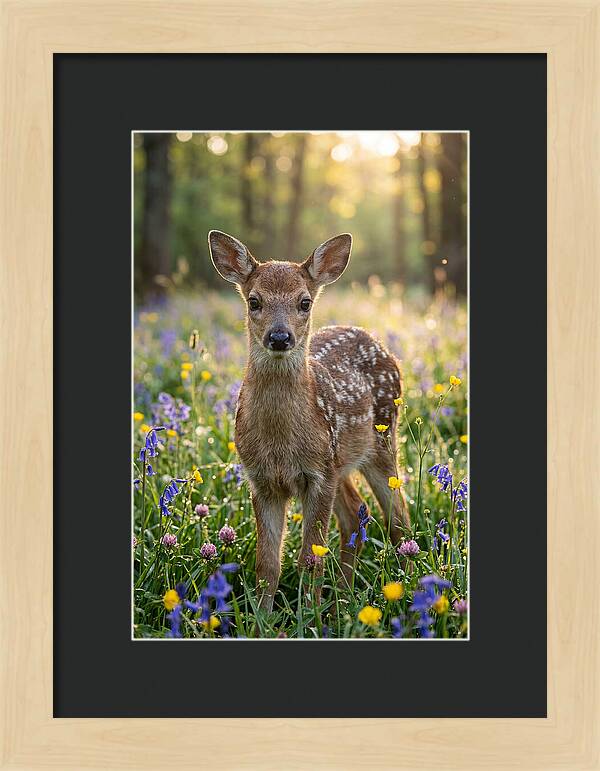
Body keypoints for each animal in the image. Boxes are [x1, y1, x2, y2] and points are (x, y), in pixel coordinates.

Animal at [208, 230, 410, 613]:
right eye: (254, 301)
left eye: (304, 302)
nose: (279, 337)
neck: (280, 442)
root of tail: (377, 342)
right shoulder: (262, 479)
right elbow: (267, 562)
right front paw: (262, 618)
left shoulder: (317, 475)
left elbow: (310, 558)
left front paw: (308, 615)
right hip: (340, 461)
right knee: (355, 514)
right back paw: (343, 599)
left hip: (381, 441)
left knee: (398, 518)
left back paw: (404, 589)